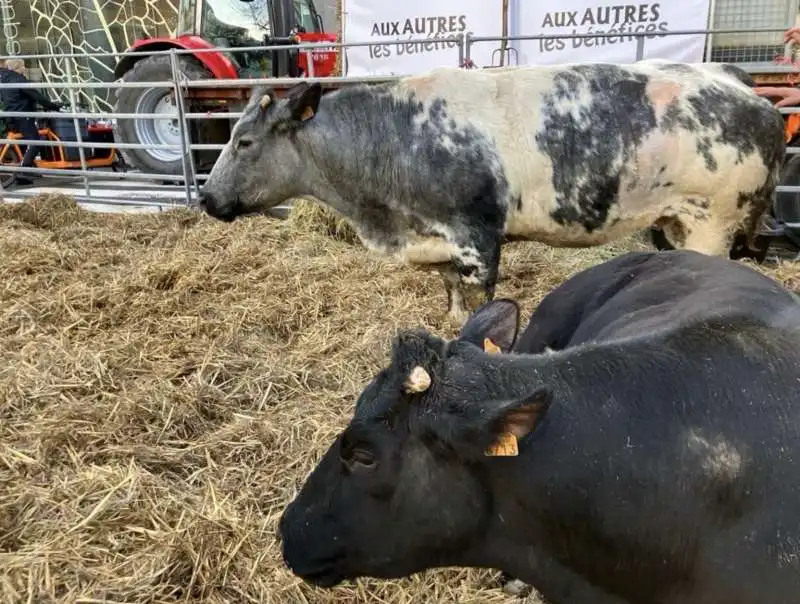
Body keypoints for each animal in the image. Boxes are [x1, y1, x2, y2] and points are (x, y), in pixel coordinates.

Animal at [198, 62, 780, 324]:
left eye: (245, 141)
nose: (204, 198)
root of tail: (743, 85)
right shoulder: (441, 244)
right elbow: (451, 296)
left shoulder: (478, 239)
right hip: (678, 223)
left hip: (713, 224)